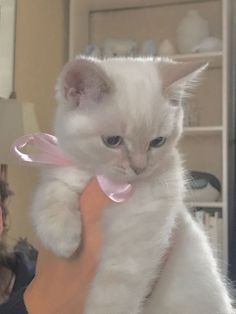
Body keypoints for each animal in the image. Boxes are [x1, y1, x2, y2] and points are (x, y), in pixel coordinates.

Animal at [31, 57, 234, 314]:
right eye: (112, 141)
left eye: (157, 142)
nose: (139, 168)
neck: (106, 183)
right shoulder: (68, 167)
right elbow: (52, 189)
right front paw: (63, 240)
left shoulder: (135, 240)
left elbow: (113, 294)